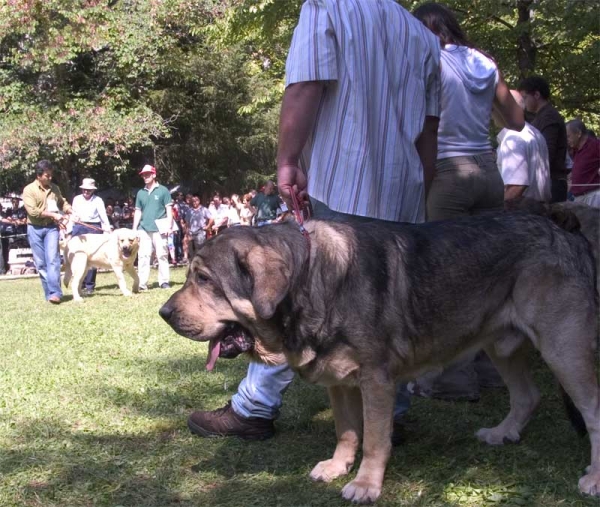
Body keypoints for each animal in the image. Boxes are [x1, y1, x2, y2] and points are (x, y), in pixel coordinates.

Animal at [159, 214, 600, 504]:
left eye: (205, 280)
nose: (164, 312)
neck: (311, 278)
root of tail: (568, 233)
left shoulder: (376, 381)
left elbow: (373, 438)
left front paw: (366, 484)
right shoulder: (339, 382)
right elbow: (346, 432)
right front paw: (338, 467)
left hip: (563, 350)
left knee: (592, 411)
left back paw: (594, 477)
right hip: (501, 345)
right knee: (527, 396)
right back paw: (503, 432)